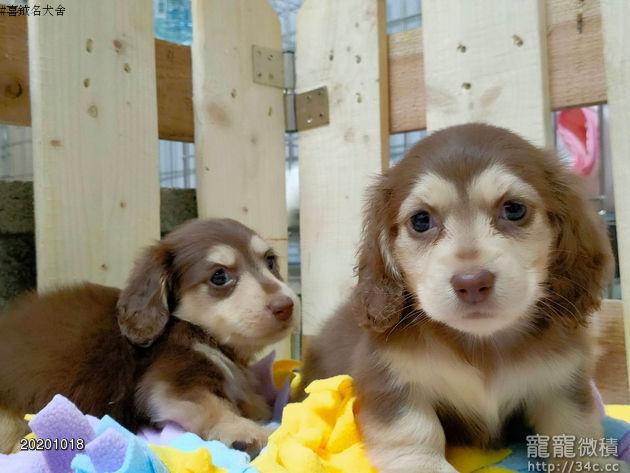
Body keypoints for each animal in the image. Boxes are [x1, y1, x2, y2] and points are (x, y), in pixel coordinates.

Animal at [0, 218, 298, 456]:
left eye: (270, 261)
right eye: (219, 277)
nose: (286, 306)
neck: (195, 330)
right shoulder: (169, 382)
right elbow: (212, 404)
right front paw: (245, 431)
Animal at [301, 124, 618, 472]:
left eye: (514, 209)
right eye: (421, 220)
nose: (472, 283)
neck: (482, 345)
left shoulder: (563, 382)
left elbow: (575, 428)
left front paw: (589, 460)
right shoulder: (388, 378)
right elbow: (412, 432)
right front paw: (422, 463)